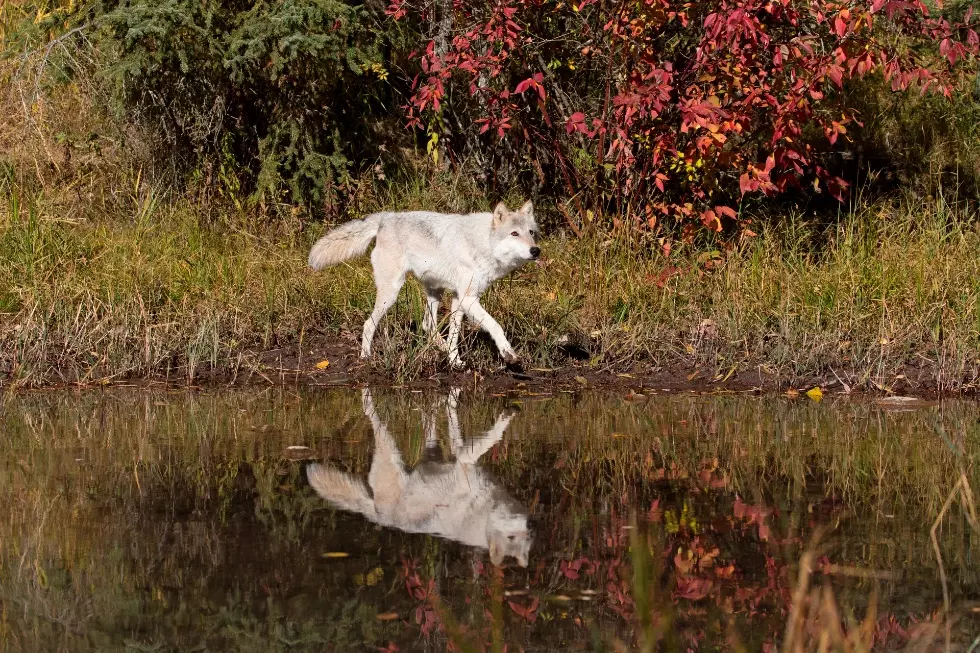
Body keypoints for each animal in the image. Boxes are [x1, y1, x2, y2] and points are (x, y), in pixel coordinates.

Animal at [306, 201, 540, 366]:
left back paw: (441, 348)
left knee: (428, 325)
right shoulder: (468, 298)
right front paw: (508, 354)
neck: (483, 244)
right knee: (368, 324)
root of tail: (386, 217)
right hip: (391, 294)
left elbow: (454, 335)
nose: (536, 250)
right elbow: (495, 325)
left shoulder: (460, 298)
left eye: (531, 233)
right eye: (514, 233)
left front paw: (455, 361)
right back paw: (366, 357)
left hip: (435, 292)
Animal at [308, 388, 532, 564]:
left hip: (430, 455)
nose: (529, 528)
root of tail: (377, 513)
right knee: (371, 414)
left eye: (524, 540)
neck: (483, 513)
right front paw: (507, 416)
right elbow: (493, 437)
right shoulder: (465, 460)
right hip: (388, 445)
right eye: (511, 537)